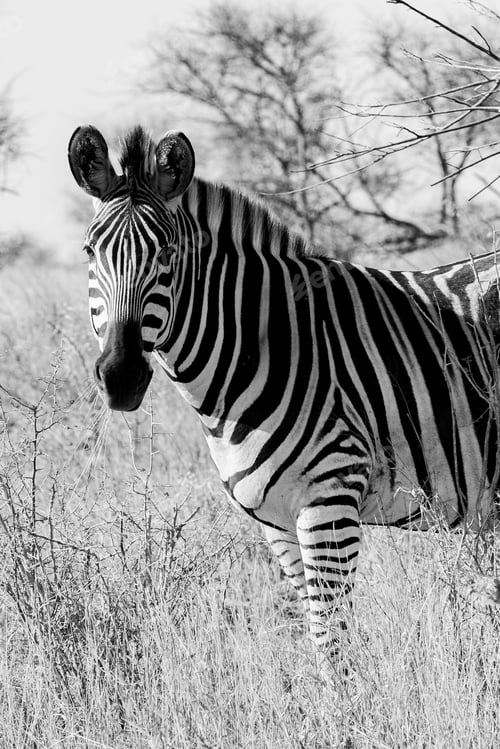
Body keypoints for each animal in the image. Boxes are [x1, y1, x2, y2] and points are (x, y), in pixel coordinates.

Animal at [68, 124, 499, 660]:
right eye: (89, 252)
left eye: (167, 254)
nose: (121, 376)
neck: (266, 344)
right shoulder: (274, 520)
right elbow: (315, 630)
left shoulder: (330, 499)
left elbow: (330, 640)